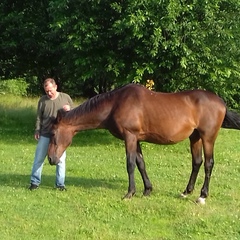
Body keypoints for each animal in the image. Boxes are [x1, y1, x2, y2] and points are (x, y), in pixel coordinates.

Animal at [47, 83, 240, 203]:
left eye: (54, 133)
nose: (50, 159)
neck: (115, 104)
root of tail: (221, 102)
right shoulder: (136, 139)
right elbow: (141, 163)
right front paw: (147, 190)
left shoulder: (130, 137)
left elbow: (130, 164)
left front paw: (129, 193)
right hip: (195, 137)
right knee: (197, 162)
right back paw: (186, 192)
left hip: (208, 138)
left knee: (208, 164)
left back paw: (202, 196)